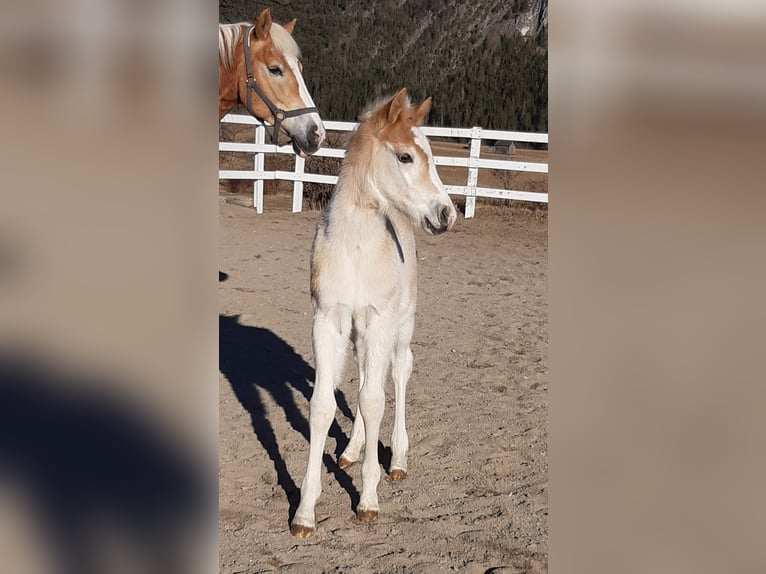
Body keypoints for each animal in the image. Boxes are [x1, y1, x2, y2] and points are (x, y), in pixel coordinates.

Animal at [292, 89, 460, 540]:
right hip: (360, 334)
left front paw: (368, 501)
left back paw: (398, 460)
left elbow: (373, 400)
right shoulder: (328, 321)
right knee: (369, 376)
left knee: (396, 376)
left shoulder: (379, 320)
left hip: (399, 326)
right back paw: (352, 450)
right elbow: (323, 405)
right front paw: (304, 512)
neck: (354, 246)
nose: (447, 214)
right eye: (405, 157)